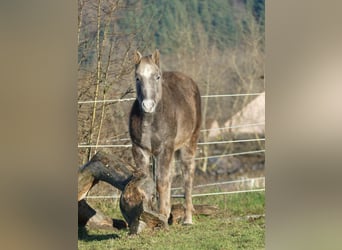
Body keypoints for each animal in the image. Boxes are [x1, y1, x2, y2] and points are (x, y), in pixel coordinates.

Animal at [130, 48, 202, 225]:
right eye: (137, 77)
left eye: (157, 76)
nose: (148, 105)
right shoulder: (140, 150)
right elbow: (147, 182)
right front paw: (149, 214)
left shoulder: (165, 150)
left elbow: (162, 182)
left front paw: (162, 215)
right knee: (170, 176)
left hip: (188, 144)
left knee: (187, 176)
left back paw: (187, 219)